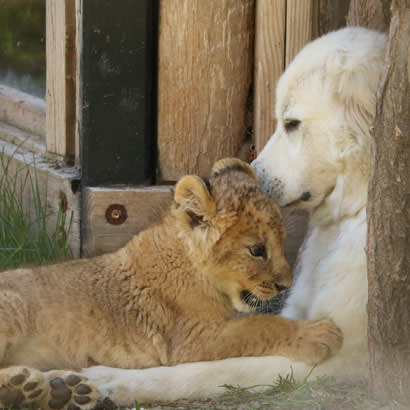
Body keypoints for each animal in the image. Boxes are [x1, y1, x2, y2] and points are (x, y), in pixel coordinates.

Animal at [82, 27, 388, 406]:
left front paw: (109, 380)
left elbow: (215, 368)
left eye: (291, 123)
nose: (255, 180)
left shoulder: (347, 360)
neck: (356, 209)